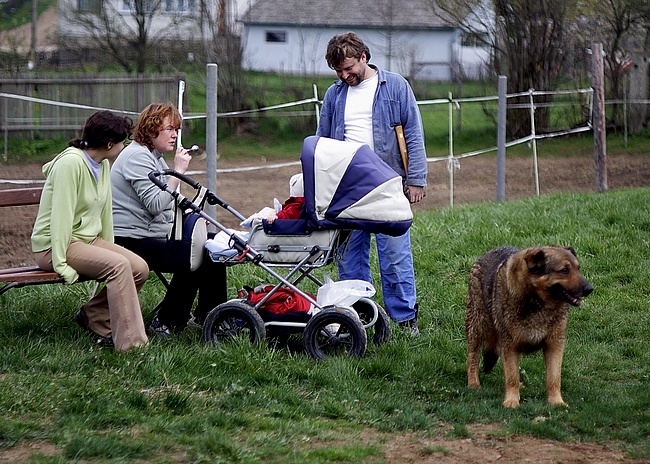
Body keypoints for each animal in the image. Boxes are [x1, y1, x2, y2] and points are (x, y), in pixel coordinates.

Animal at [464, 245, 588, 408]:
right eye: (564, 270)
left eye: (578, 269)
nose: (590, 289)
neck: (537, 302)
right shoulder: (509, 344)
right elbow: (512, 377)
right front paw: (511, 401)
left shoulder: (554, 344)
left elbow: (554, 378)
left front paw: (556, 401)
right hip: (478, 325)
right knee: (473, 356)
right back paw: (473, 383)